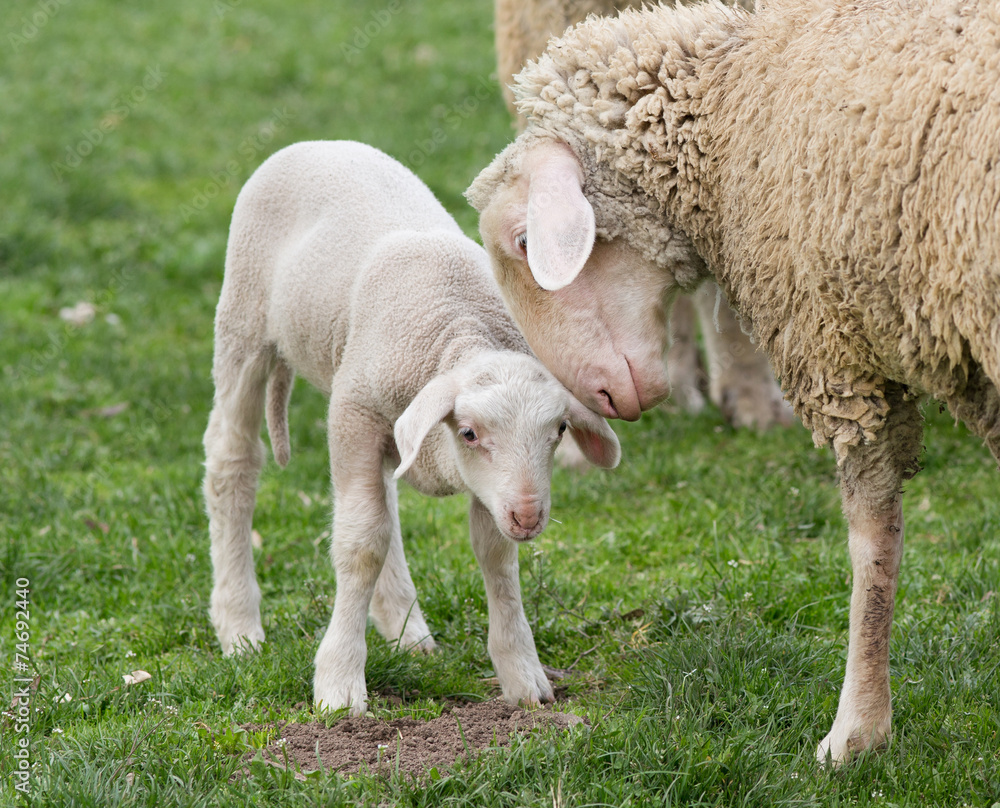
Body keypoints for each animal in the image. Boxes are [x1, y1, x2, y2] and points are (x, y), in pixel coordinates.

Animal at [203, 140, 621, 716]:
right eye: (469, 432)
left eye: (558, 431)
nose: (529, 516)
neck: (457, 328)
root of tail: (320, 142)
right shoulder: (353, 414)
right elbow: (361, 544)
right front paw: (339, 685)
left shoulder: (485, 485)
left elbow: (495, 556)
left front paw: (522, 674)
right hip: (243, 320)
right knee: (233, 459)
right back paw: (239, 627)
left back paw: (405, 629)